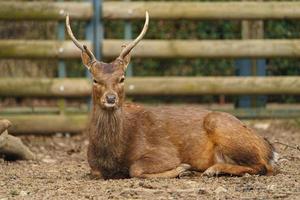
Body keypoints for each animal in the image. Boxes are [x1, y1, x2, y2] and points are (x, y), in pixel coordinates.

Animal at [65, 11, 278, 179]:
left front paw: (183, 168)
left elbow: (135, 169)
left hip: (223, 127)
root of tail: (268, 148)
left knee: (263, 167)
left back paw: (213, 169)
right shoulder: (93, 167)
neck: (113, 154)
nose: (110, 98)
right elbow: (96, 172)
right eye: (95, 79)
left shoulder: (165, 152)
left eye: (122, 78)